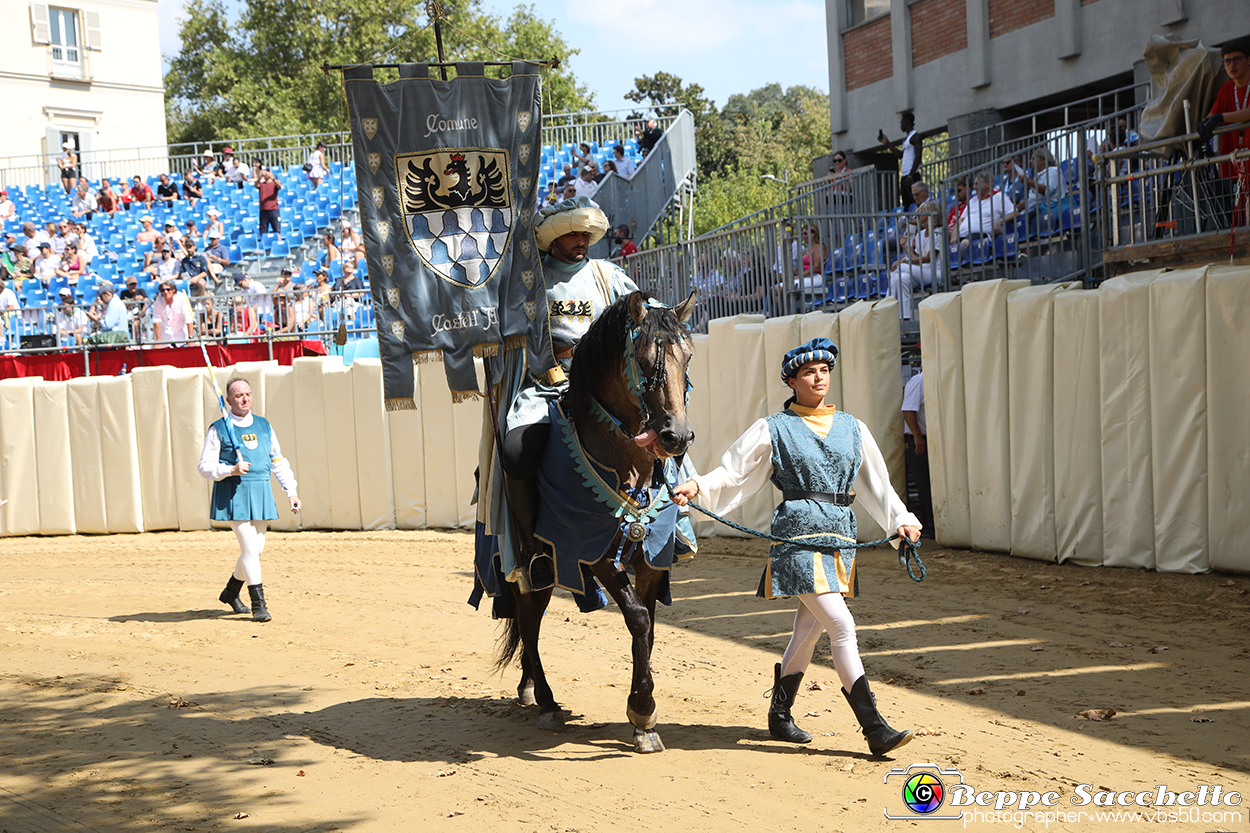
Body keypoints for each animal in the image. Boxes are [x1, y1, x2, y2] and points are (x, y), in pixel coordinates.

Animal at [495, 290, 695, 750]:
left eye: (688, 357)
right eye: (643, 360)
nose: (676, 437)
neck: (628, 467)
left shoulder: (652, 560)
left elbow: (649, 627)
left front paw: (643, 719)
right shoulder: (595, 554)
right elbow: (638, 617)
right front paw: (643, 710)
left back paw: (529, 688)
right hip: (534, 569)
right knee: (529, 621)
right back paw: (545, 701)